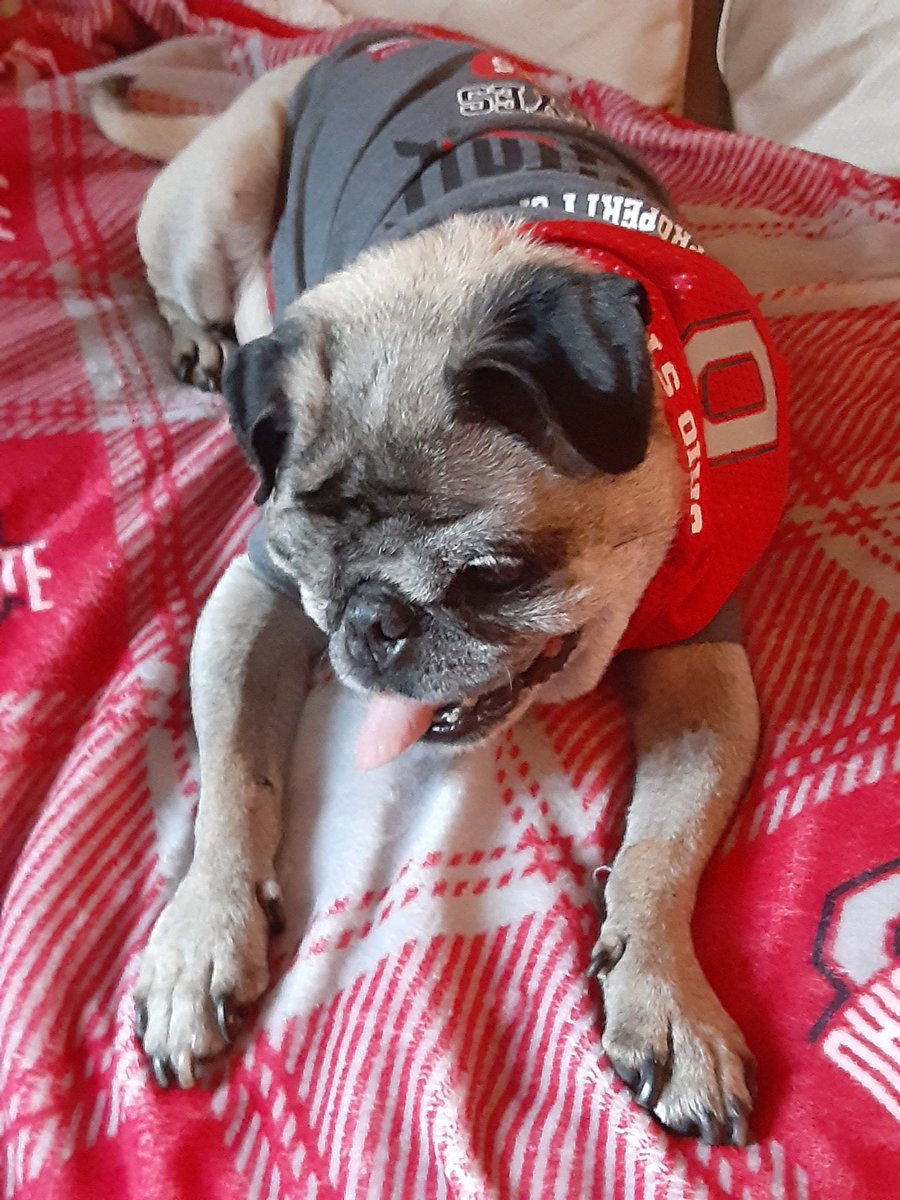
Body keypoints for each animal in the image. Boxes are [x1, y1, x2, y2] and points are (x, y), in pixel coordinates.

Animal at [93, 30, 787, 1142]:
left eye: (495, 575)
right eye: (306, 557)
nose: (368, 620)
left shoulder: (701, 655)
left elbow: (664, 851)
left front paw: (665, 993)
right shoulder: (252, 596)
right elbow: (232, 785)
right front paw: (202, 934)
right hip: (222, 196)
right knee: (181, 282)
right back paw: (202, 339)